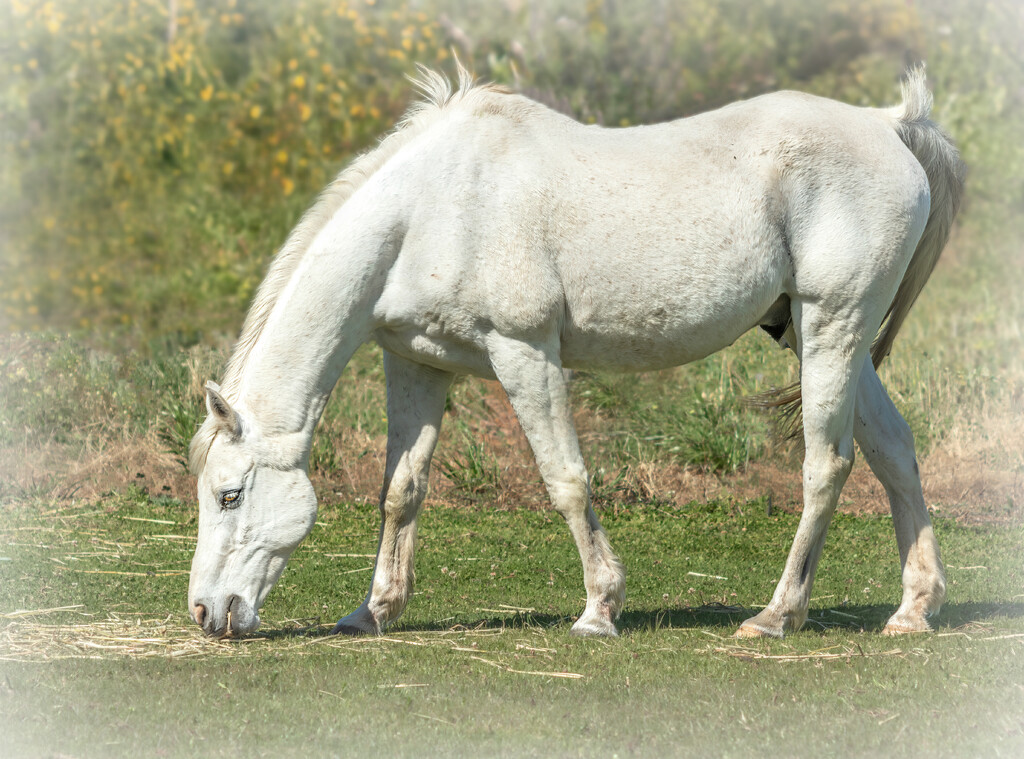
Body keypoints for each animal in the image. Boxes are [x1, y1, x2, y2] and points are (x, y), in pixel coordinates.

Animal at [188, 65, 962, 639]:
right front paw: (373, 610)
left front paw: (599, 608)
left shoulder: (523, 353)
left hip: (832, 326)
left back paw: (776, 615)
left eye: (230, 493)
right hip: (820, 335)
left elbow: (565, 479)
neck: (432, 208)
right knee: (894, 450)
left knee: (826, 465)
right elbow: (401, 491)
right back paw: (913, 609)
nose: (204, 611)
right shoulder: (418, 364)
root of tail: (889, 124)